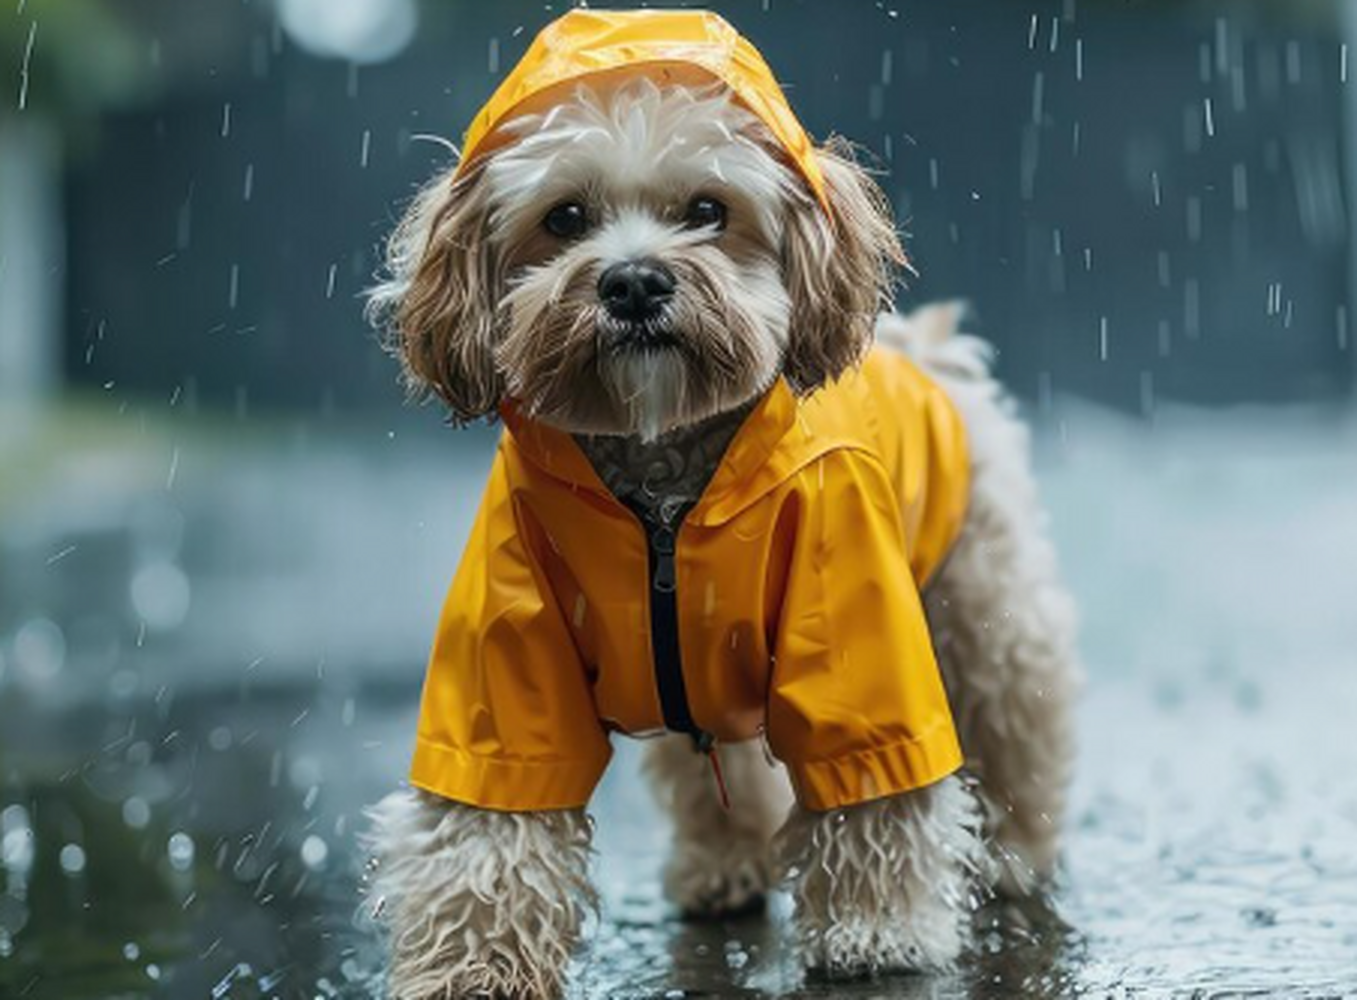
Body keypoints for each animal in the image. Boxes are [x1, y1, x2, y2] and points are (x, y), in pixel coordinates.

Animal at [363, 9, 1080, 998]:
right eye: (565, 218)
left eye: (707, 210)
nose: (632, 282)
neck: (663, 494)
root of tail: (924, 350)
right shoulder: (505, 663)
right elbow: (487, 823)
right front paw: (471, 965)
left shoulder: (857, 643)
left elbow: (875, 788)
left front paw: (873, 930)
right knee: (712, 769)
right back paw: (720, 870)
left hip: (984, 615)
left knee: (1015, 731)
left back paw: (1012, 855)